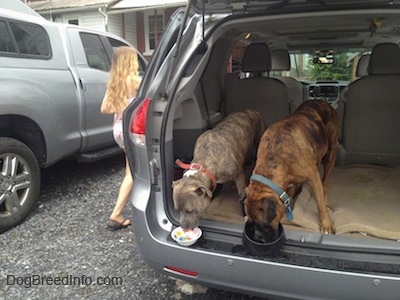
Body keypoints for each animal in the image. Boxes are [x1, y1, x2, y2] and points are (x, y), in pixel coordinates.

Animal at [244, 99, 338, 240]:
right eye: (251, 223)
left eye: (263, 225)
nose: (257, 236)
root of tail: (323, 101)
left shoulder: (313, 176)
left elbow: (320, 202)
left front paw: (326, 223)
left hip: (330, 154)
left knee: (325, 182)